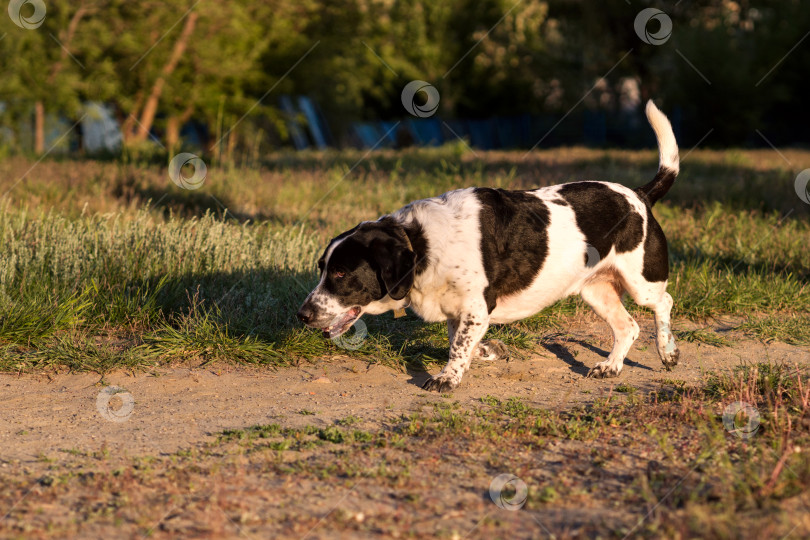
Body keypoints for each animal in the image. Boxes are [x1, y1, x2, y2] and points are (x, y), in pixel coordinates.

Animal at [296, 100, 676, 392]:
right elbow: (462, 343)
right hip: (595, 292)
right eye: (322, 269)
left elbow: (458, 348)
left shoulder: (477, 306)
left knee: (664, 303)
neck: (420, 242)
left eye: (341, 273)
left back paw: (668, 351)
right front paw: (491, 351)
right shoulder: (461, 312)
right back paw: (610, 366)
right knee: (628, 326)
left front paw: (448, 379)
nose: (302, 315)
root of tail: (640, 195)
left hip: (641, 282)